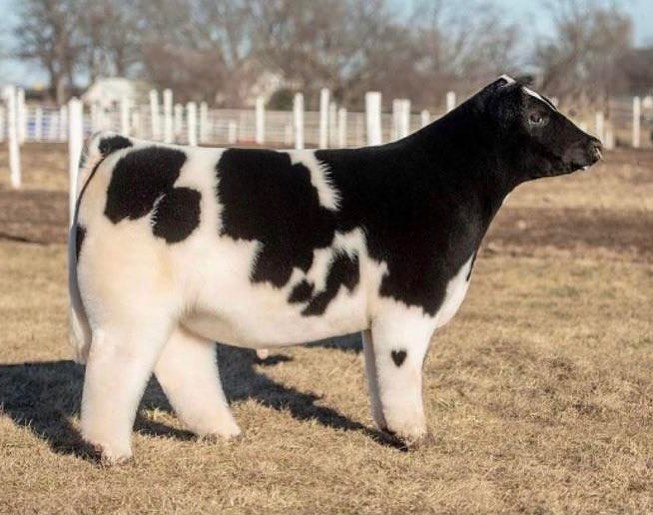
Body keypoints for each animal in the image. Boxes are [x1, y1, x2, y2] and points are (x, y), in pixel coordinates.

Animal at [69, 76, 602, 464]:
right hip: (128, 309)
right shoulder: (408, 305)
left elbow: (378, 375)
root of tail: (126, 146)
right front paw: (414, 437)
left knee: (183, 363)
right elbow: (402, 373)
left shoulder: (379, 318)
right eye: (536, 115)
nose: (595, 144)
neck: (439, 183)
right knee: (115, 370)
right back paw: (111, 451)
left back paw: (222, 432)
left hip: (175, 310)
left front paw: (389, 429)